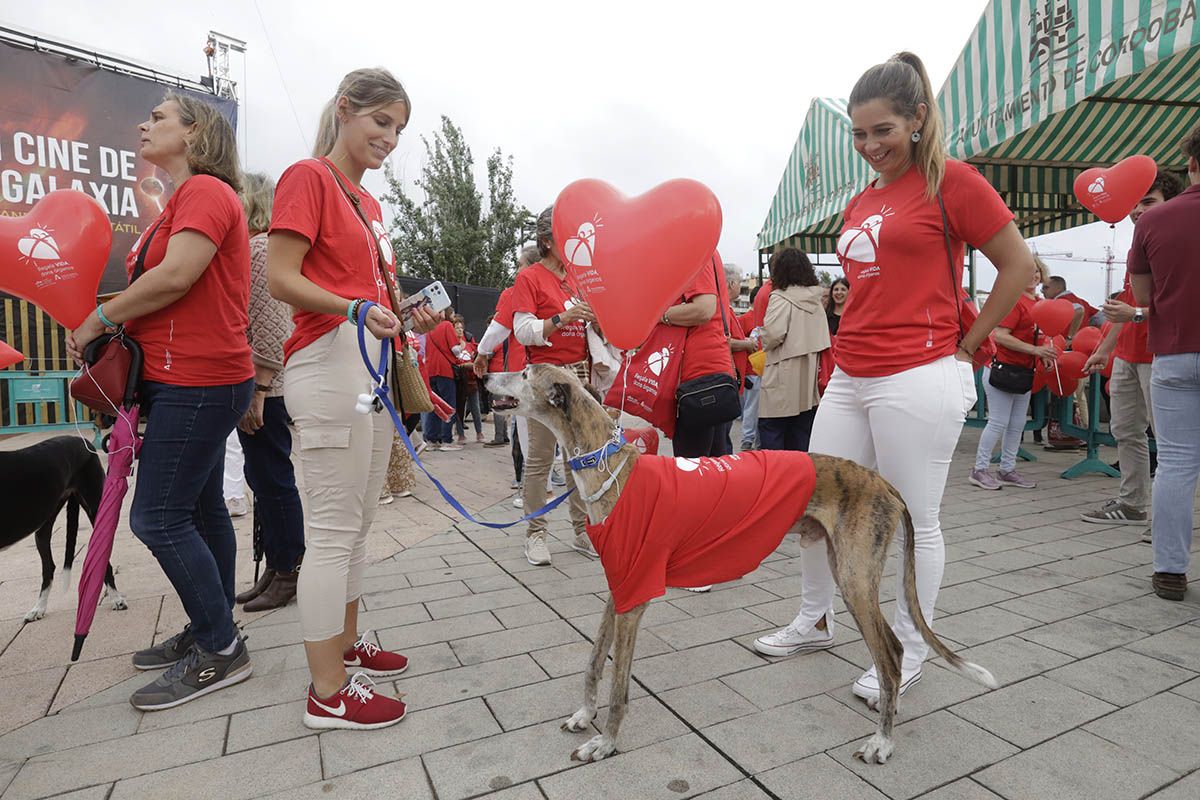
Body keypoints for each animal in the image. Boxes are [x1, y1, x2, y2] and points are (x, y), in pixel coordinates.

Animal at [1, 434, 127, 623]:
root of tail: (80, 439)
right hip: (44, 527)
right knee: (49, 567)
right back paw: (38, 608)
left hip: (96, 509)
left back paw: (116, 598)